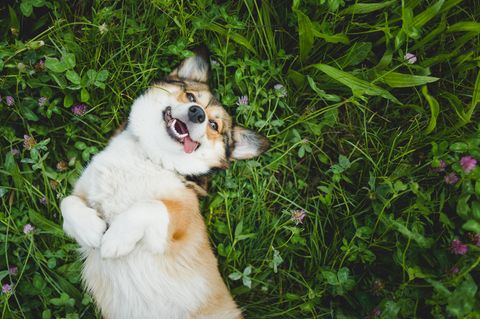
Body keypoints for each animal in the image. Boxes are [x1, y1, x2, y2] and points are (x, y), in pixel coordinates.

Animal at [59, 50, 268, 319]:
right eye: (191, 97)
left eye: (214, 125)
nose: (197, 113)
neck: (149, 157)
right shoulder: (83, 192)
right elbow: (67, 202)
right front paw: (90, 229)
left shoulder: (180, 226)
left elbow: (151, 206)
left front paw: (116, 239)